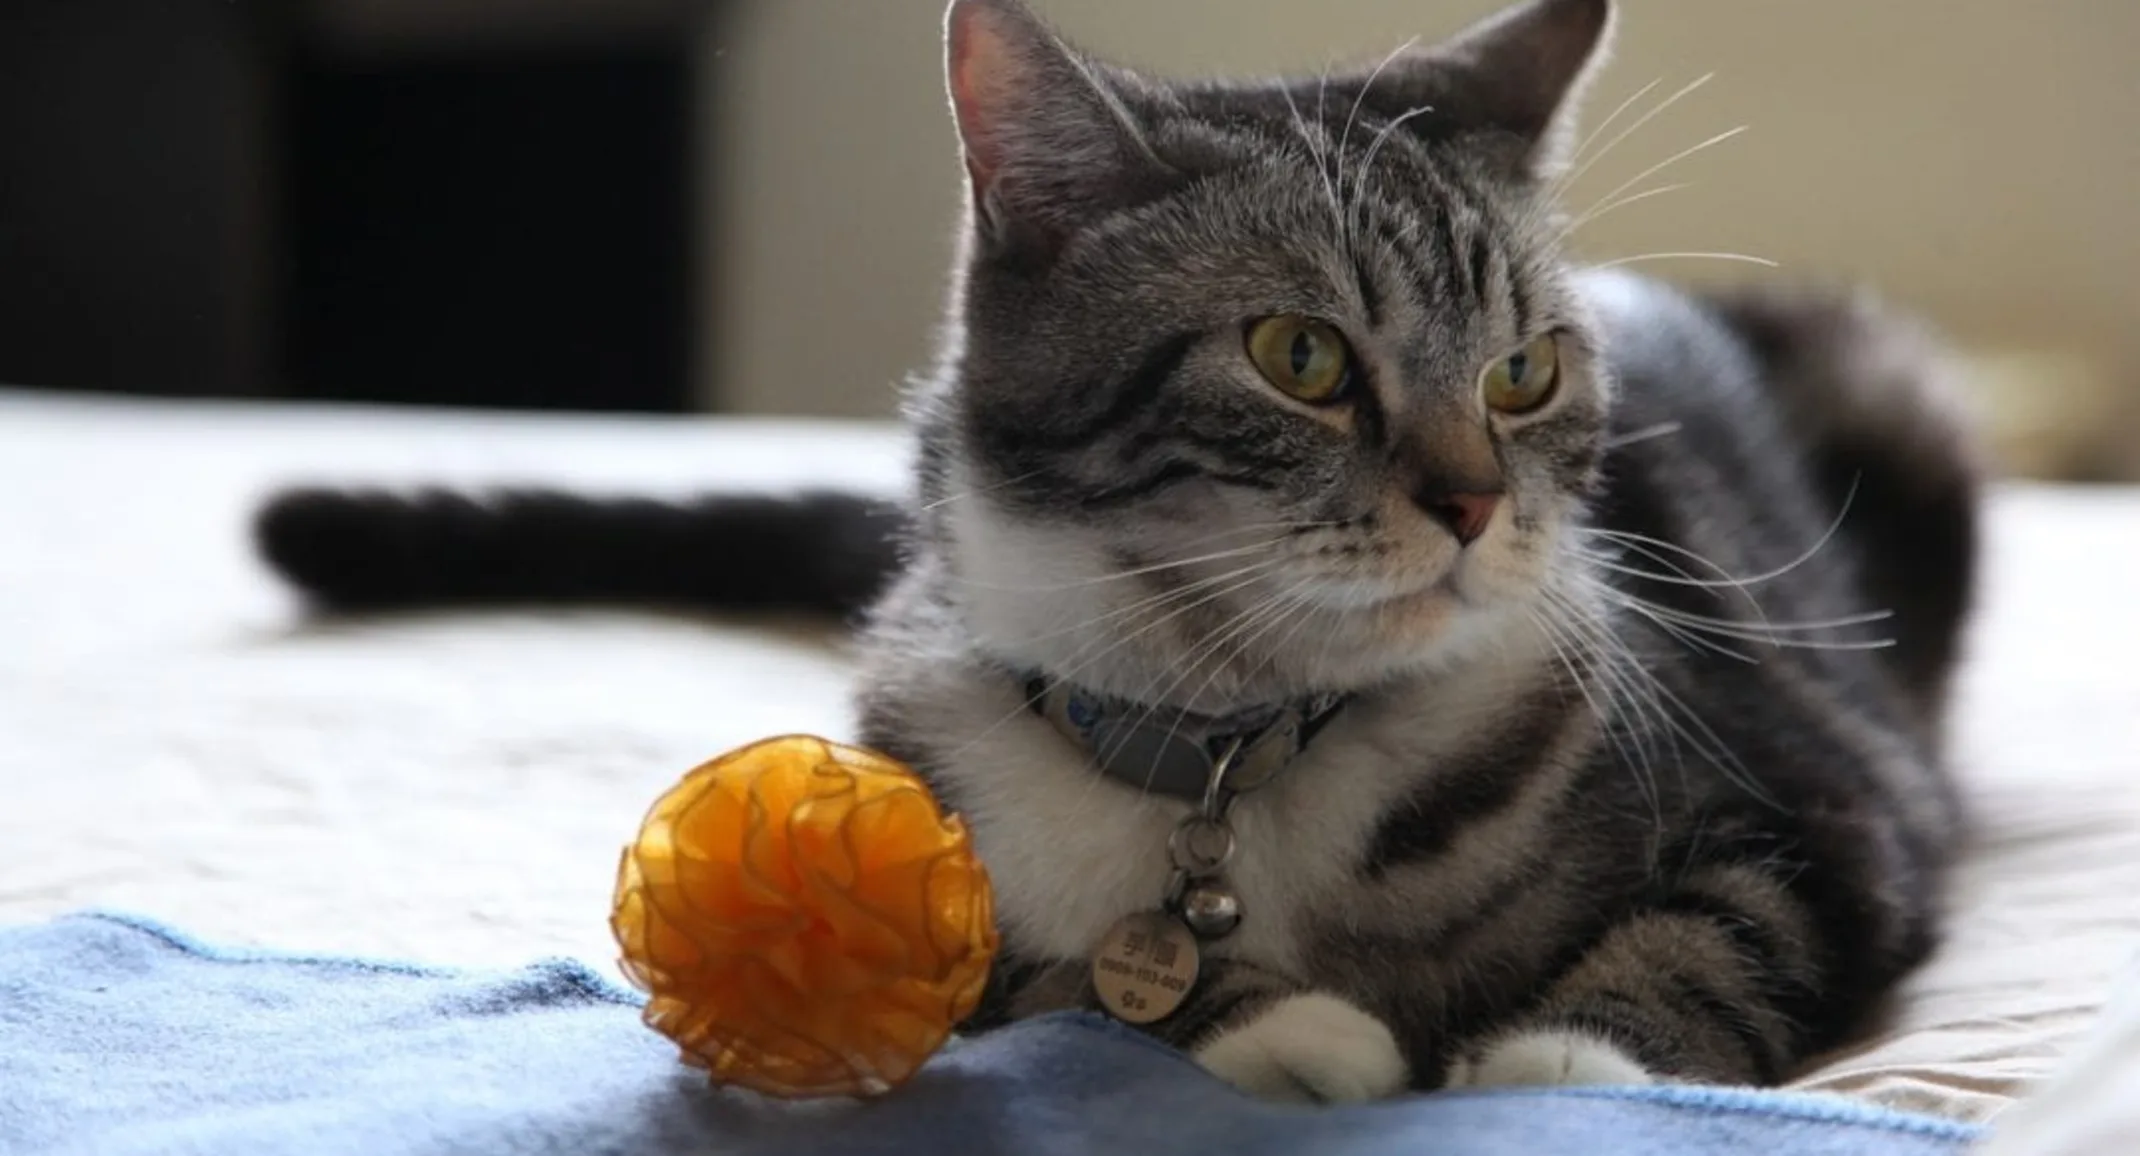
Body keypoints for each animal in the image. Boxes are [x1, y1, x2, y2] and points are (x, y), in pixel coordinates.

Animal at [258, 0, 1977, 1104]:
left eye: (1524, 373)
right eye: (1299, 356)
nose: (1478, 504)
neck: (1235, 734)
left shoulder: (1828, 791)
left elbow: (1721, 928)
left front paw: (1571, 1060)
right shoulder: (940, 847)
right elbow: (1048, 975)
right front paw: (1280, 1033)